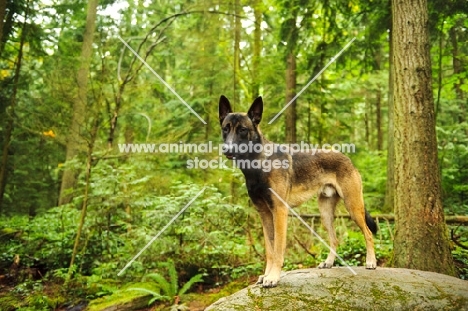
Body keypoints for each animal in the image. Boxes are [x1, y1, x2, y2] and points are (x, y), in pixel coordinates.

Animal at [218, 94, 376, 288]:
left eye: (242, 129)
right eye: (225, 129)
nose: (227, 149)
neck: (258, 164)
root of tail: (347, 158)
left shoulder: (279, 212)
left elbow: (278, 249)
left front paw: (273, 277)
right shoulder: (264, 213)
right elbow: (270, 250)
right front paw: (266, 275)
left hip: (353, 208)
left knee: (368, 233)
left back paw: (371, 262)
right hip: (325, 214)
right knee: (334, 239)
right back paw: (329, 263)